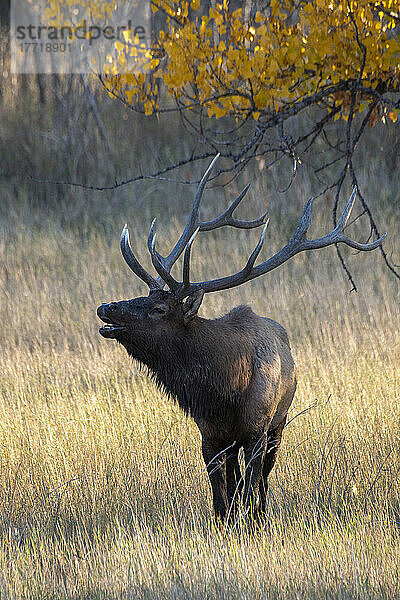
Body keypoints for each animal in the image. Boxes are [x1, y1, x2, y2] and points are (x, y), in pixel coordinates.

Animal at [96, 154, 384, 520]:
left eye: (159, 308)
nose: (106, 307)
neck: (224, 390)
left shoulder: (257, 430)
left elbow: (249, 488)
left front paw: (254, 520)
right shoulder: (210, 434)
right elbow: (221, 500)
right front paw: (227, 522)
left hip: (279, 424)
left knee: (262, 480)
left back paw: (262, 512)